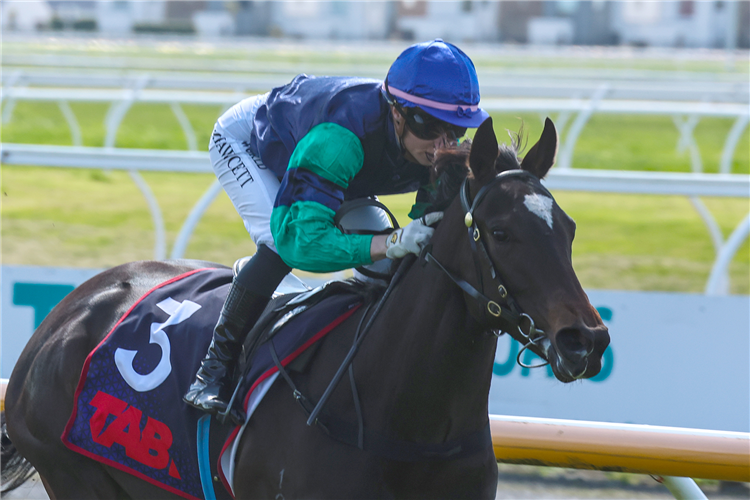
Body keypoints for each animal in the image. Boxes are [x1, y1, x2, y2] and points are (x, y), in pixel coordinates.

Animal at [0, 115, 612, 498]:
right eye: (502, 233)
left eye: (569, 229)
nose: (586, 339)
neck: (407, 421)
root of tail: (67, 311)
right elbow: (295, 234)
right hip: (73, 473)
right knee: (275, 244)